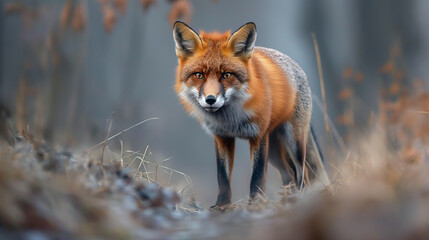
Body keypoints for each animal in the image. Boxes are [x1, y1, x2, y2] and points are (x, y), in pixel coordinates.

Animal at [172, 21, 322, 207]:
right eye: (199, 75)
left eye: (226, 75)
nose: (211, 99)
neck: (231, 119)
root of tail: (296, 65)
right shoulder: (222, 137)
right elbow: (222, 177)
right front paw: (221, 206)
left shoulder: (258, 136)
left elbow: (257, 177)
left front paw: (255, 205)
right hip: (274, 151)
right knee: (289, 173)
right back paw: (287, 200)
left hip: (293, 142)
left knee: (302, 172)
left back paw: (299, 198)